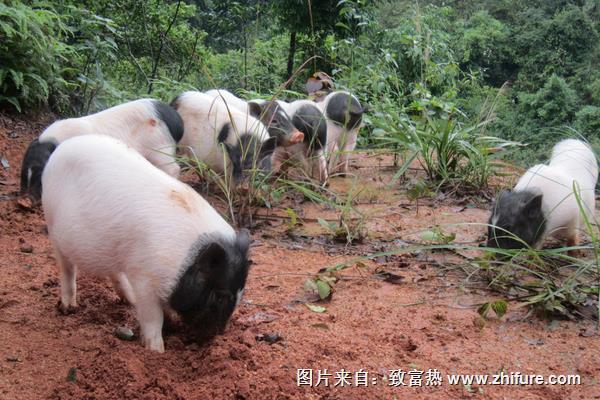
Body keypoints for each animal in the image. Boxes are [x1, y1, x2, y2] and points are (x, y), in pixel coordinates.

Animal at [19, 99, 182, 202]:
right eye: (24, 168)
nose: (24, 201)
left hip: (161, 148)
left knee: (175, 168)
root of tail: (177, 122)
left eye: (41, 172)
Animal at [41, 135, 248, 354]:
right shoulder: (144, 278)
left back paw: (129, 300)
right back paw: (68, 308)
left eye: (241, 294)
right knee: (67, 268)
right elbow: (152, 317)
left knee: (113, 272)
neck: (183, 261)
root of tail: (62, 148)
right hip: (53, 226)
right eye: (220, 296)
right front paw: (156, 351)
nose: (215, 336)